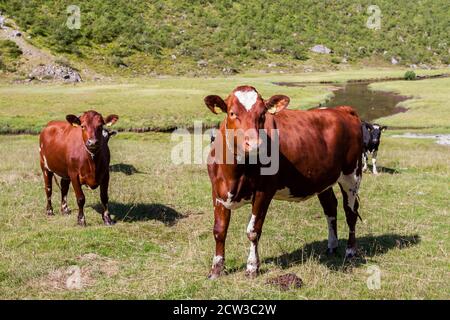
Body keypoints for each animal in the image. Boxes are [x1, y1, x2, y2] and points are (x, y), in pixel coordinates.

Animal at [204, 86, 362, 278]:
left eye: (262, 114)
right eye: (232, 113)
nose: (255, 145)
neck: (234, 173)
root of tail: (342, 109)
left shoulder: (264, 191)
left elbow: (253, 230)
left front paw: (252, 267)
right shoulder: (217, 192)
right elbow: (219, 230)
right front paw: (216, 269)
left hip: (352, 175)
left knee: (351, 212)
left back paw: (350, 251)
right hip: (323, 180)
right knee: (330, 207)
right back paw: (332, 246)